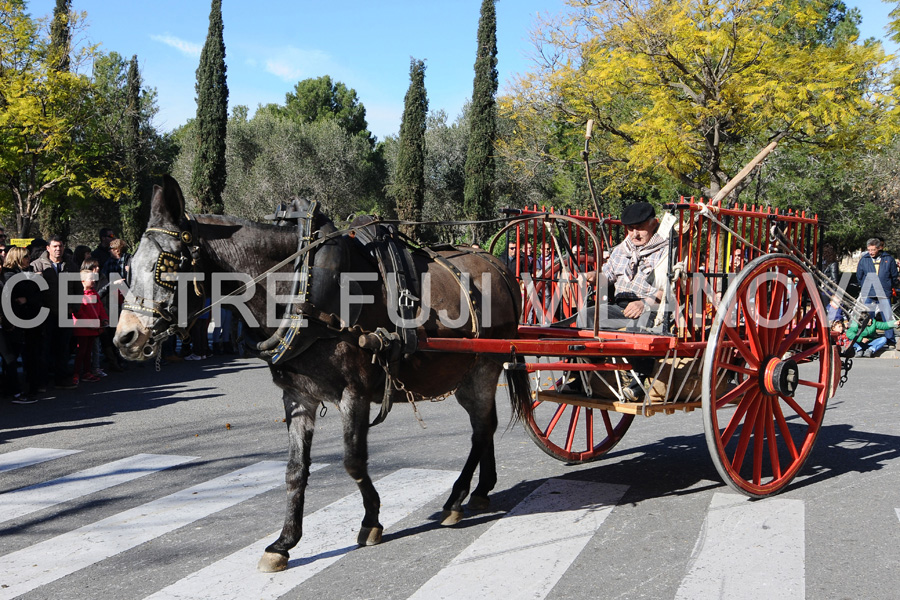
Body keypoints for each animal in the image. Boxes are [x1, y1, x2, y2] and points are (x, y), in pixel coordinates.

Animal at [114, 177, 528, 572]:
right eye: (130, 265)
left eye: (166, 266)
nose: (125, 337)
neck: (302, 287)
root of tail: (498, 265)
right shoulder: (298, 396)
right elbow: (295, 470)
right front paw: (283, 543)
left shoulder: (354, 392)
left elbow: (353, 460)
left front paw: (371, 521)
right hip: (466, 376)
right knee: (484, 425)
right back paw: (480, 490)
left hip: (483, 368)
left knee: (480, 429)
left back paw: (457, 497)